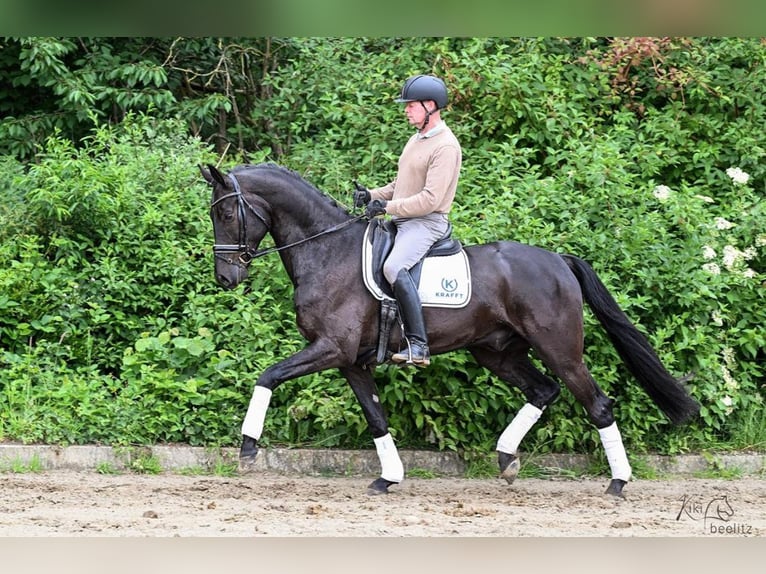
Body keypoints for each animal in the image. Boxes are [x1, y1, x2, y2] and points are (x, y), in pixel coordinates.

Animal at [201, 162, 700, 497]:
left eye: (225, 215)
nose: (226, 278)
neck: (327, 251)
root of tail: (559, 261)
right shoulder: (352, 362)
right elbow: (376, 417)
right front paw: (388, 478)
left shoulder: (331, 348)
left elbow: (268, 375)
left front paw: (247, 448)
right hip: (497, 351)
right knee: (543, 391)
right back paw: (507, 459)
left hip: (559, 349)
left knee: (596, 404)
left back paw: (617, 483)